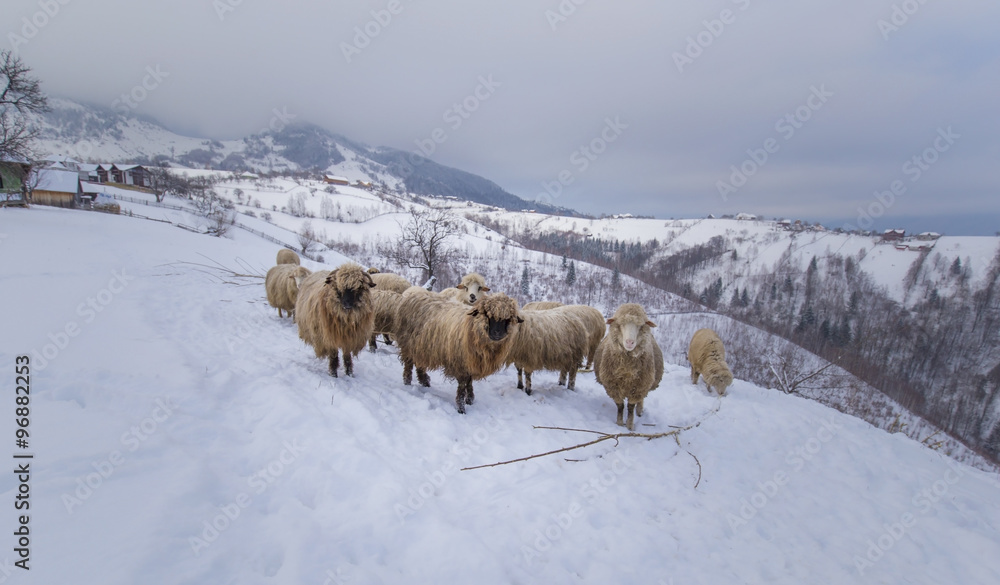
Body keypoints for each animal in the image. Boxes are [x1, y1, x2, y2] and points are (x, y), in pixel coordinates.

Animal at [394, 292, 523, 413]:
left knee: (420, 365)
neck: (472, 327)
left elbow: (469, 383)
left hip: (422, 348)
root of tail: (413, 296)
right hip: (408, 345)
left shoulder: (472, 364)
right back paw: (408, 382)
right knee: (408, 365)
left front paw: (470, 400)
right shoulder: (461, 364)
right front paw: (461, 408)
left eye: (508, 318)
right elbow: (462, 386)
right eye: (487, 314)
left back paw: (425, 382)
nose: (498, 333)